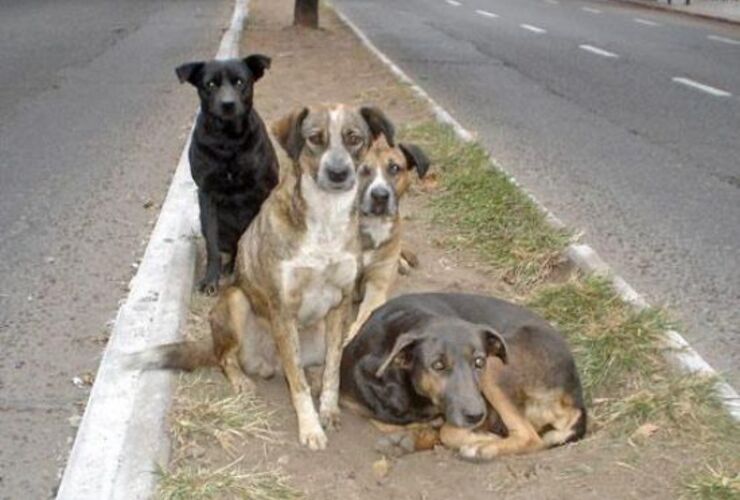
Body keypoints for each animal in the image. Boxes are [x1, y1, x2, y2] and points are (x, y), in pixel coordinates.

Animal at [135, 104, 396, 450]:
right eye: (315, 138)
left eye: (354, 138)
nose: (338, 174)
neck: (326, 217)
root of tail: (266, 362)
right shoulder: (282, 309)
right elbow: (297, 383)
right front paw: (310, 428)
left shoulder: (340, 305)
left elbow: (333, 370)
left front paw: (328, 409)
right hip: (235, 301)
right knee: (225, 357)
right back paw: (241, 380)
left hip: (319, 335)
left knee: (316, 365)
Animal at [176, 56, 280, 294]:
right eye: (210, 84)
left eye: (240, 82)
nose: (228, 104)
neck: (228, 140)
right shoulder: (207, 194)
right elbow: (212, 246)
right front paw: (210, 279)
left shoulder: (263, 188)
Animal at [338, 292, 588, 460]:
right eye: (438, 365)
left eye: (479, 362)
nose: (476, 415)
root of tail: (576, 397)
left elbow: (448, 431)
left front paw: (481, 440)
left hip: (496, 369)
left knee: (530, 437)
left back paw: (483, 448)